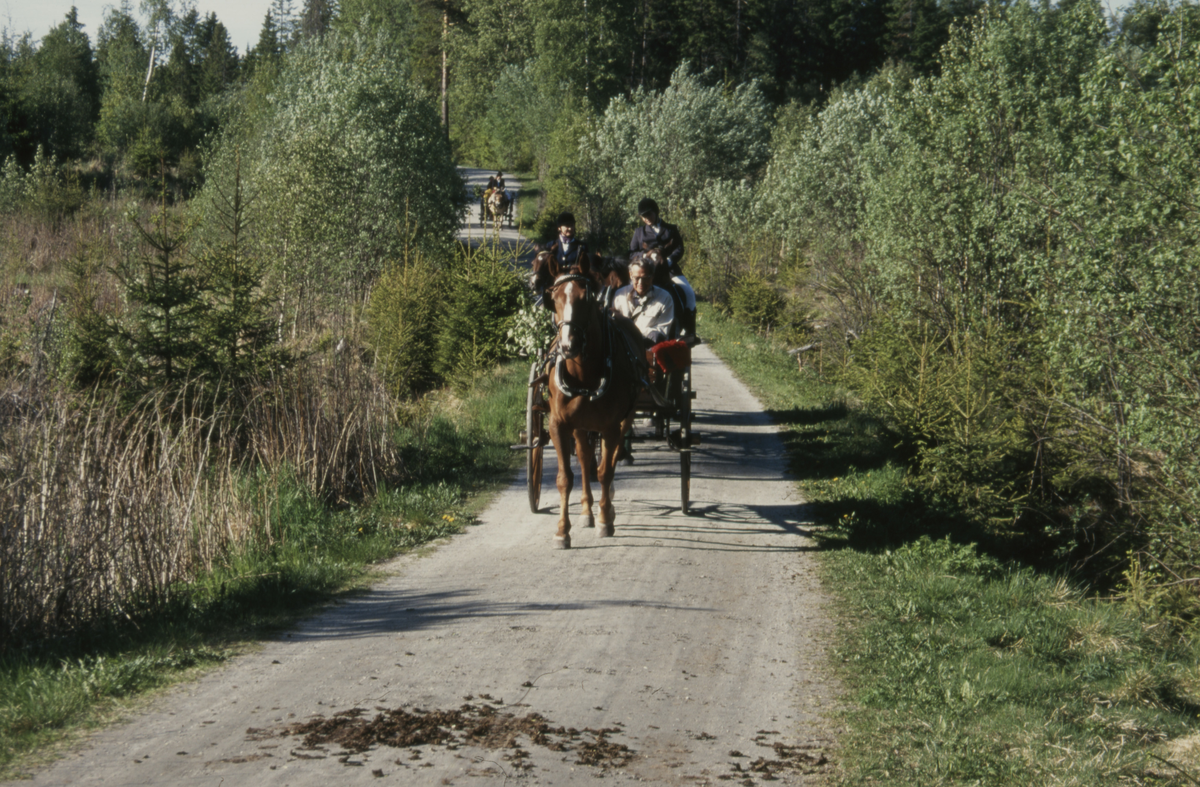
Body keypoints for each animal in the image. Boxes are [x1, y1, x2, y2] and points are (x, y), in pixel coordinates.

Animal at [540, 251, 643, 547]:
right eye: (554, 297)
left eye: (585, 297)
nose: (568, 345)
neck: (584, 375)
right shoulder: (558, 425)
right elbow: (565, 478)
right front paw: (562, 531)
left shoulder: (610, 426)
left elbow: (605, 471)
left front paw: (605, 521)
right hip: (580, 425)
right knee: (585, 459)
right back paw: (587, 511)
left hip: (624, 418)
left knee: (611, 458)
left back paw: (606, 508)